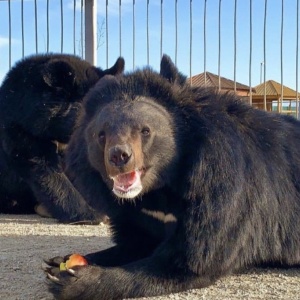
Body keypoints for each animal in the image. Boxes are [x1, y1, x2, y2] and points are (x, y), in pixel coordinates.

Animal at [44, 55, 300, 298]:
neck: (160, 188)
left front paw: (75, 280)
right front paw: (60, 262)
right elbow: (133, 243)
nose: (118, 156)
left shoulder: (222, 191)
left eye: (145, 131)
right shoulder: (134, 213)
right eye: (101, 135)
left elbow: (190, 260)